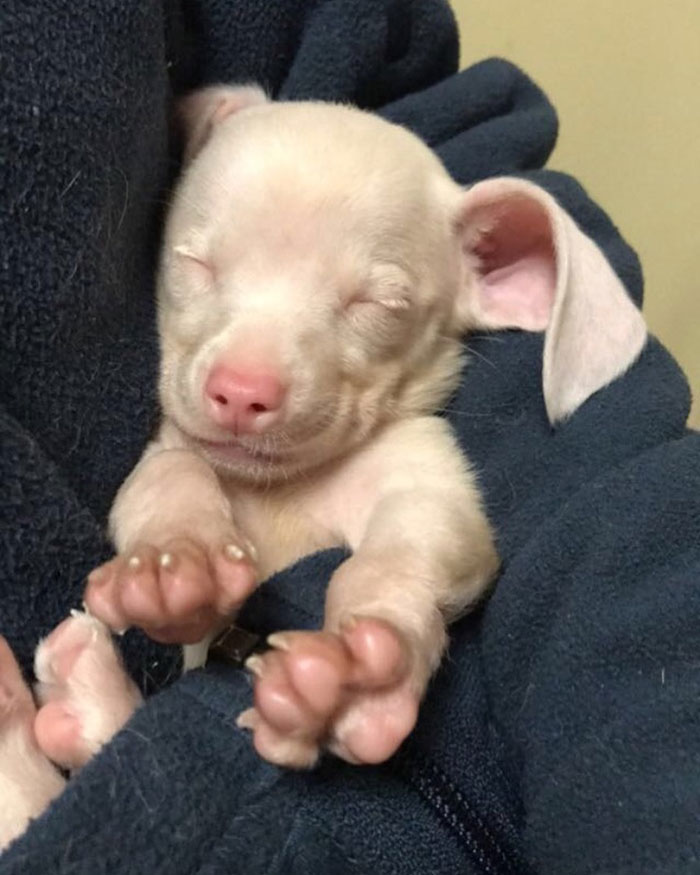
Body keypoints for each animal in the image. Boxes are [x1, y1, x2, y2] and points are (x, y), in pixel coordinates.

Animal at [0, 85, 646, 848]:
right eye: (194, 262)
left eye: (378, 303)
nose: (242, 390)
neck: (279, 491)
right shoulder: (169, 450)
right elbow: (168, 480)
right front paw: (174, 561)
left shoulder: (426, 480)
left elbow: (407, 551)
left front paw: (357, 674)